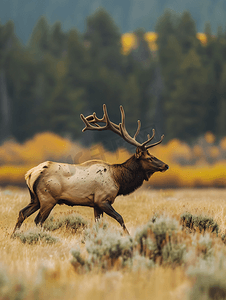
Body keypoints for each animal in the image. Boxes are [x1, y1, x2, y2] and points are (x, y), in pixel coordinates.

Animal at [12, 105, 168, 234]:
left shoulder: (96, 204)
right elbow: (120, 218)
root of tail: (30, 173)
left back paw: (14, 236)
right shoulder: (102, 199)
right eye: (149, 158)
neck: (118, 179)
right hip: (47, 198)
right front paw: (127, 235)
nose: (165, 165)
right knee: (38, 220)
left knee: (21, 213)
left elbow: (99, 223)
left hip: (35, 199)